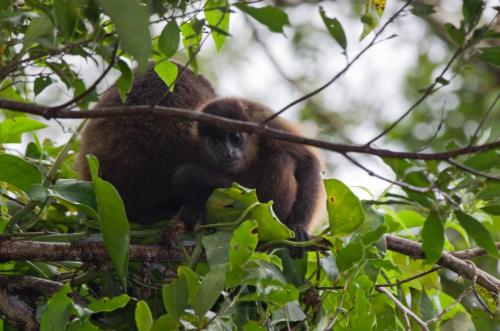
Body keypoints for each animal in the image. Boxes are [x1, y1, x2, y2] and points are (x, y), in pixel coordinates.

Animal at [173, 97, 324, 245]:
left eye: (235, 138)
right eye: (216, 141)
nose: (228, 153)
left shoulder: (269, 124)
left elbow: (307, 161)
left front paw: (299, 226)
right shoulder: (194, 142)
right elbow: (182, 177)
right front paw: (194, 208)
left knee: (281, 159)